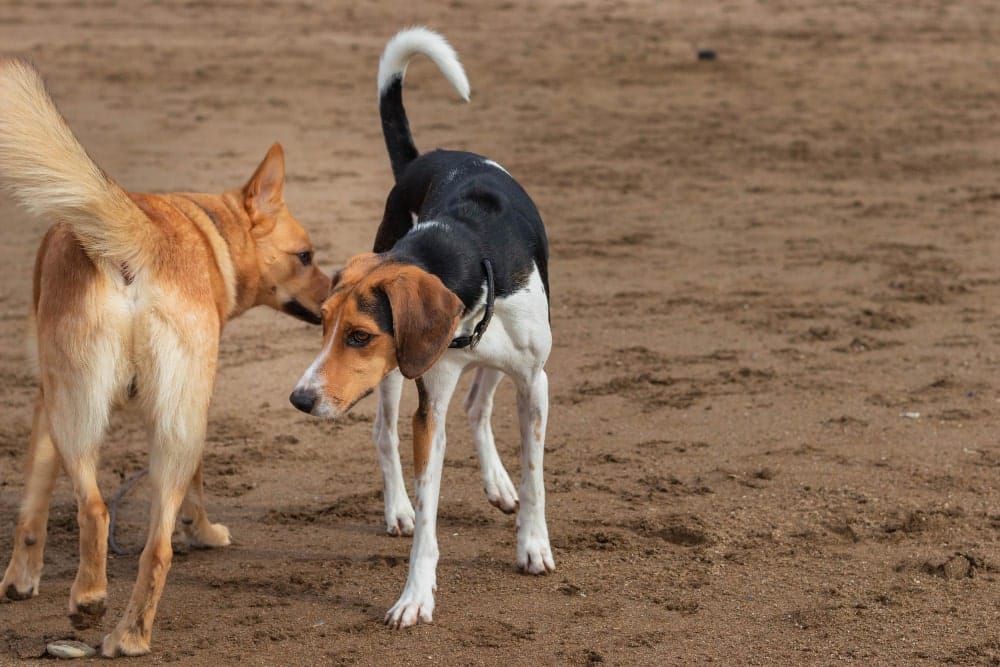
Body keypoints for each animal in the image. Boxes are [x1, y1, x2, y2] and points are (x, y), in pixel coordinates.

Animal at [0, 58, 328, 656]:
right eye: (305, 257)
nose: (337, 291)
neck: (207, 229)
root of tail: (143, 238)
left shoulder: (45, 406)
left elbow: (32, 505)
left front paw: (18, 581)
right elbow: (193, 488)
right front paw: (205, 533)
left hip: (86, 416)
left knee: (97, 508)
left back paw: (93, 605)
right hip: (174, 424)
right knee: (154, 544)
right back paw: (127, 632)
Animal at [290, 26, 556, 628]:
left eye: (359, 335)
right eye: (323, 325)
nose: (299, 398)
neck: (466, 246)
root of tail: (424, 158)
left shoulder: (535, 382)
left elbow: (534, 474)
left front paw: (532, 544)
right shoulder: (427, 402)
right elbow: (429, 511)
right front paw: (415, 593)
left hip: (496, 364)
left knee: (478, 406)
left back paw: (498, 483)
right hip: (392, 377)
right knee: (384, 434)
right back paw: (398, 509)